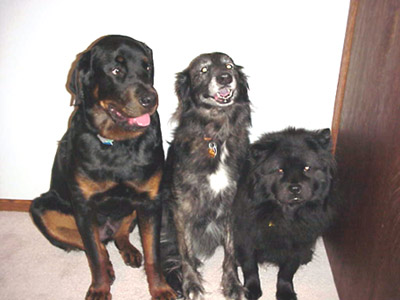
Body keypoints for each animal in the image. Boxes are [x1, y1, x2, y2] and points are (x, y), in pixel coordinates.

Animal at [28, 35, 176, 300]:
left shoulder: (150, 200)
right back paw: (108, 266)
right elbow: (94, 256)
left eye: (147, 67)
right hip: (42, 208)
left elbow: (153, 254)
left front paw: (160, 288)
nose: (151, 99)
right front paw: (100, 288)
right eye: (116, 70)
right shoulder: (84, 205)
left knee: (119, 234)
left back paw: (129, 250)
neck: (118, 143)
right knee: (94, 245)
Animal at [159, 52, 250, 298]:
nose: (225, 78)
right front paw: (190, 283)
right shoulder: (181, 207)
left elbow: (230, 252)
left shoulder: (231, 204)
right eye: (203, 70)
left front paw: (233, 283)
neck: (215, 137)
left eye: (229, 66)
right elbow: (186, 252)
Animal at [233, 128, 336, 300]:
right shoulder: (246, 236)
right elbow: (250, 266)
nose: (295, 188)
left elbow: (287, 272)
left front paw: (285, 292)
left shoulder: (297, 242)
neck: (284, 214)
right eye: (280, 170)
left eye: (306, 168)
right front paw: (251, 289)